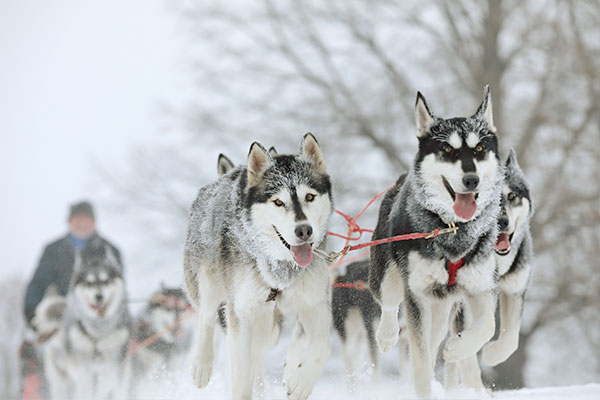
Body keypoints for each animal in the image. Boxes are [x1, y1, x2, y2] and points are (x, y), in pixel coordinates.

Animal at [44, 244, 132, 400]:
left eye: (106, 281)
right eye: (88, 283)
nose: (99, 296)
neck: (97, 335)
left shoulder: (113, 364)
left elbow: (105, 385)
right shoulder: (82, 369)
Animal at [183, 133, 332, 398]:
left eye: (310, 197)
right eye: (278, 202)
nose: (304, 230)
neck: (279, 267)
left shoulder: (313, 302)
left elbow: (323, 346)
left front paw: (299, 380)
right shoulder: (240, 315)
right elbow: (241, 379)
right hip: (209, 283)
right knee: (206, 317)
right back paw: (201, 365)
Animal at [368, 86, 504, 396]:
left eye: (479, 149)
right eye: (447, 150)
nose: (471, 179)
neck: (453, 229)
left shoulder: (481, 288)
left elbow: (488, 326)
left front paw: (459, 348)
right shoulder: (415, 294)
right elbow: (418, 357)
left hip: (442, 306)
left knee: (434, 339)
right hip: (388, 276)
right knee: (389, 304)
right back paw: (386, 335)